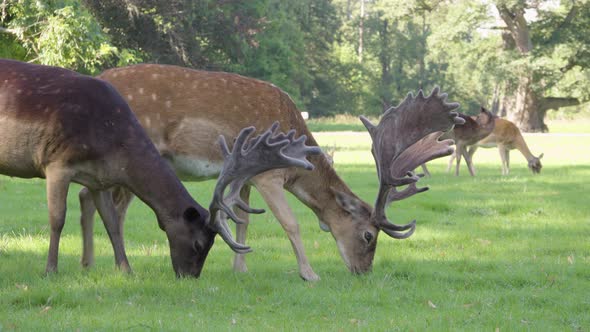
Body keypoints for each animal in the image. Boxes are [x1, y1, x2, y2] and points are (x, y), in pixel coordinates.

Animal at [0, 59, 320, 278]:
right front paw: (50, 270)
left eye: (212, 244)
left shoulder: (98, 178)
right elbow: (57, 219)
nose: (190, 277)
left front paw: (126, 270)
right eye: (198, 243)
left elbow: (111, 222)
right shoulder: (56, 163)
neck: (111, 138)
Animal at [80, 64, 468, 280]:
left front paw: (240, 268)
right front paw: (309, 274)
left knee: (89, 195)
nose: (363, 272)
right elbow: (290, 223)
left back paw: (90, 264)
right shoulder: (268, 174)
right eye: (368, 236)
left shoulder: (245, 174)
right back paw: (118, 266)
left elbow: (242, 220)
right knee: (109, 204)